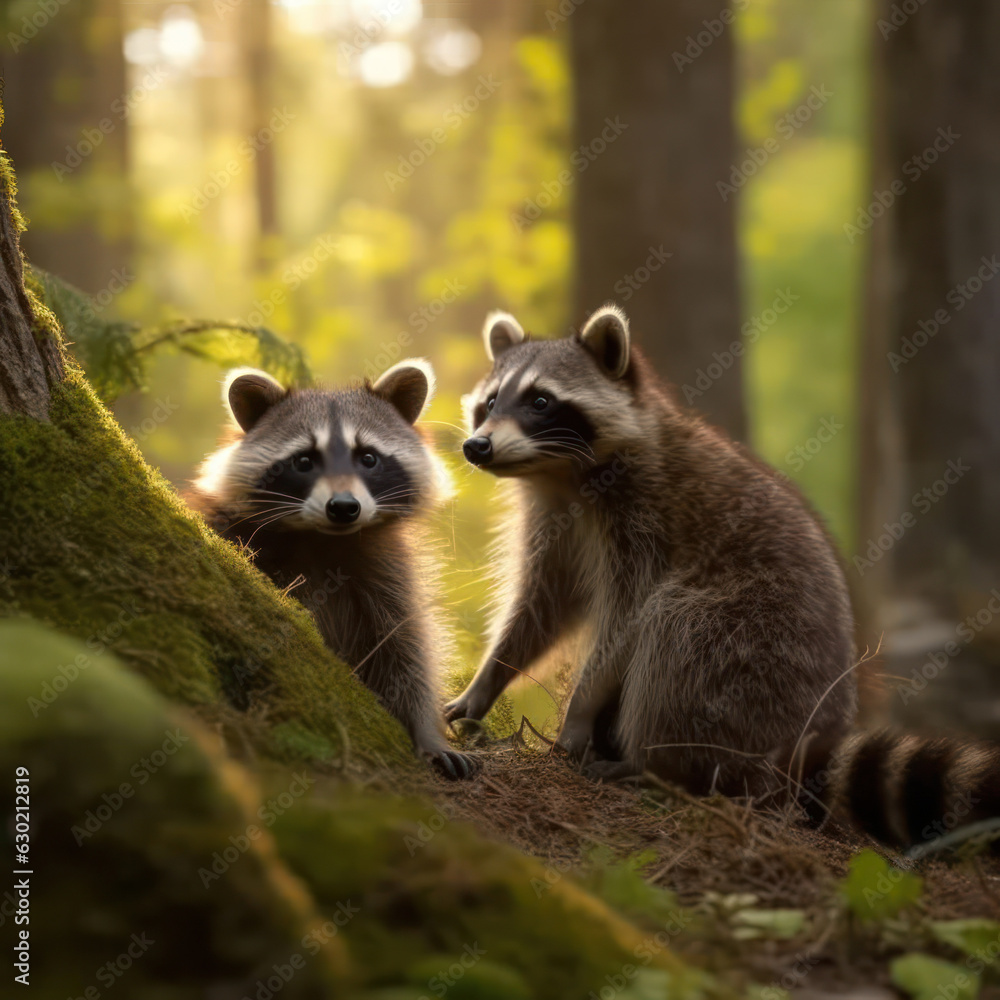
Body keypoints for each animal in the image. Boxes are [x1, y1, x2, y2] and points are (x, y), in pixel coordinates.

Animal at [191, 361, 477, 779]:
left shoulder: (388, 567)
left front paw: (426, 732)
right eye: (304, 461)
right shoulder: (225, 526)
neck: (321, 539)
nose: (343, 507)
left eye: (368, 458)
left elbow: (407, 645)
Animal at [445, 305, 1000, 848]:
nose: (477, 447)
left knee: (677, 630)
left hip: (757, 654)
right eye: (490, 401)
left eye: (540, 401)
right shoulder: (553, 517)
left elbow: (627, 618)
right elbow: (542, 606)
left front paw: (579, 707)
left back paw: (652, 765)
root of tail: (799, 747)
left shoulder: (647, 515)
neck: (560, 474)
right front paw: (488, 677)